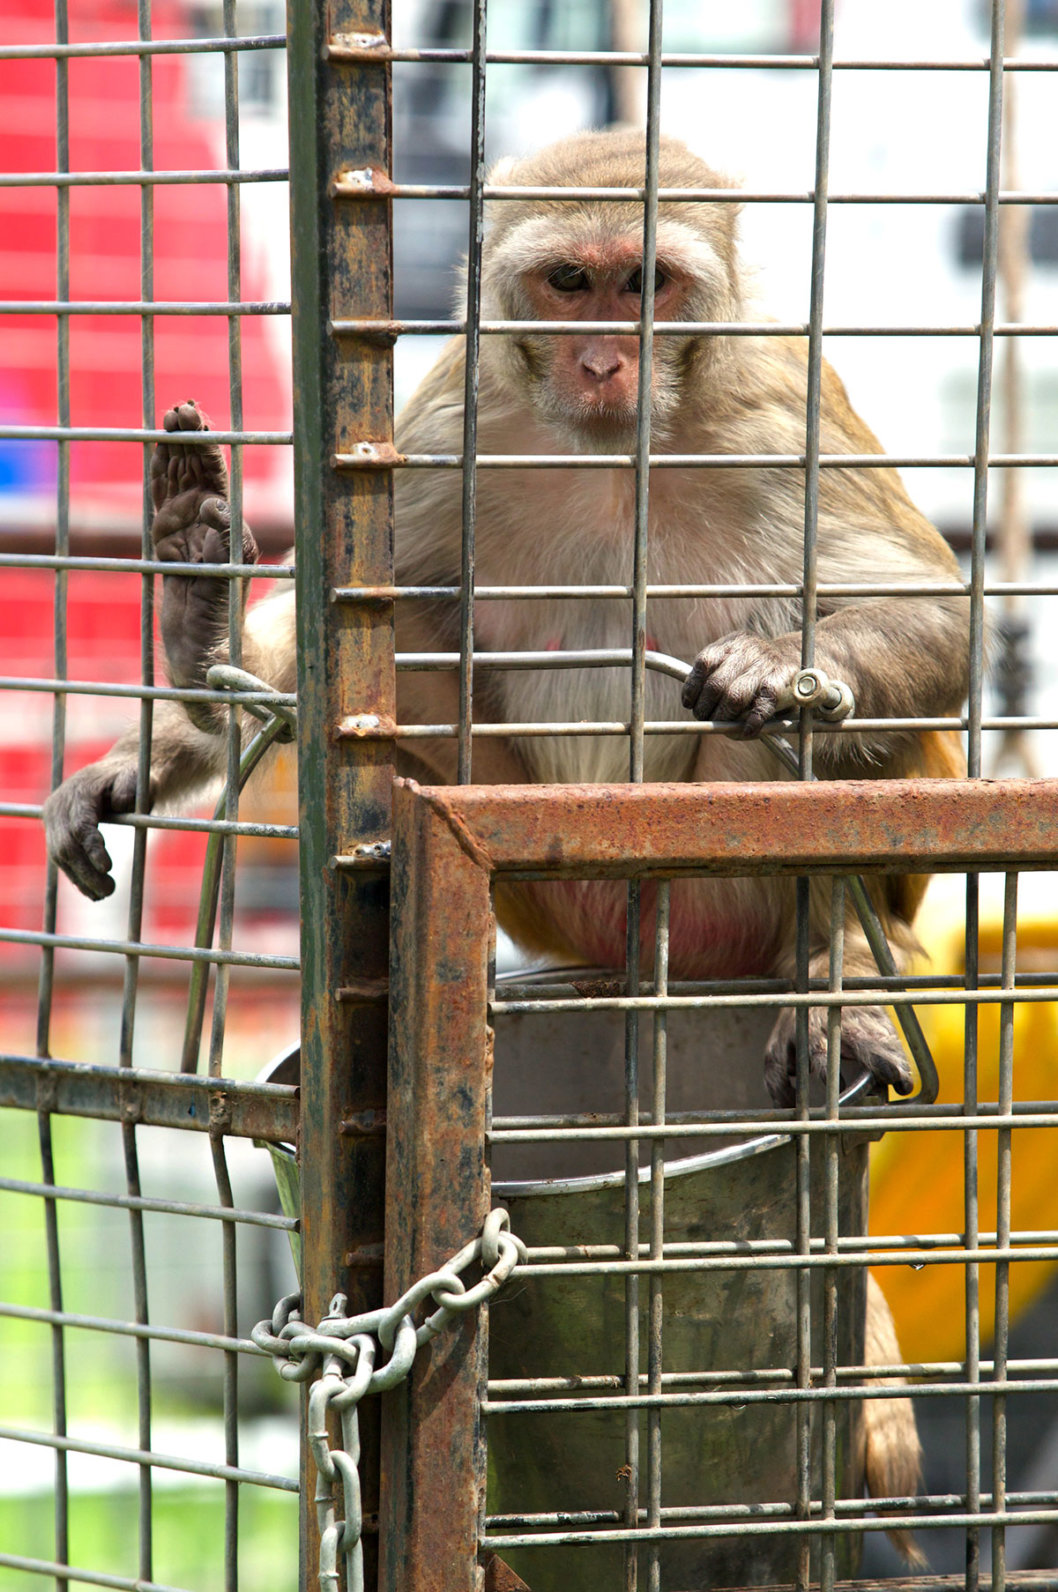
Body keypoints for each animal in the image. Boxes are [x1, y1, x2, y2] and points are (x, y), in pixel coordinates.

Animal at [47, 124, 954, 1541]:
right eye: (567, 282)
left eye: (646, 282)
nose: (602, 360)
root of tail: (671, 959)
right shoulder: (446, 419)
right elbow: (355, 651)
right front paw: (177, 708)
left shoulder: (779, 401)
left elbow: (931, 616)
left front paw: (779, 671)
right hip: (555, 893)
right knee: (413, 657)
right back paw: (202, 646)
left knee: (820, 751)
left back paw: (837, 966)